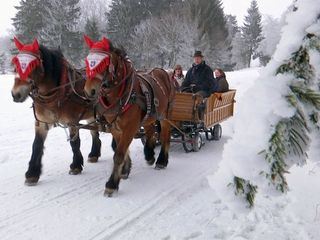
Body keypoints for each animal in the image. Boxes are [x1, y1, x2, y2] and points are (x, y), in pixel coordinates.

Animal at [11, 37, 102, 186]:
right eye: (15, 65)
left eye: (33, 65)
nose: (16, 94)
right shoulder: (41, 123)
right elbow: (36, 145)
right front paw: (32, 173)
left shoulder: (72, 121)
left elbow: (74, 143)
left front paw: (76, 165)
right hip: (92, 115)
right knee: (95, 133)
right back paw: (94, 154)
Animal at [82, 35, 175, 196]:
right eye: (88, 62)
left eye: (103, 63)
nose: (89, 91)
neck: (122, 94)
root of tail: (163, 72)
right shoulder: (115, 127)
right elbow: (121, 149)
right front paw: (125, 170)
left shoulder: (130, 128)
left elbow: (119, 154)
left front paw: (112, 184)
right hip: (150, 116)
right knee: (150, 131)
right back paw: (149, 154)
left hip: (165, 115)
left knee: (165, 136)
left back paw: (161, 160)